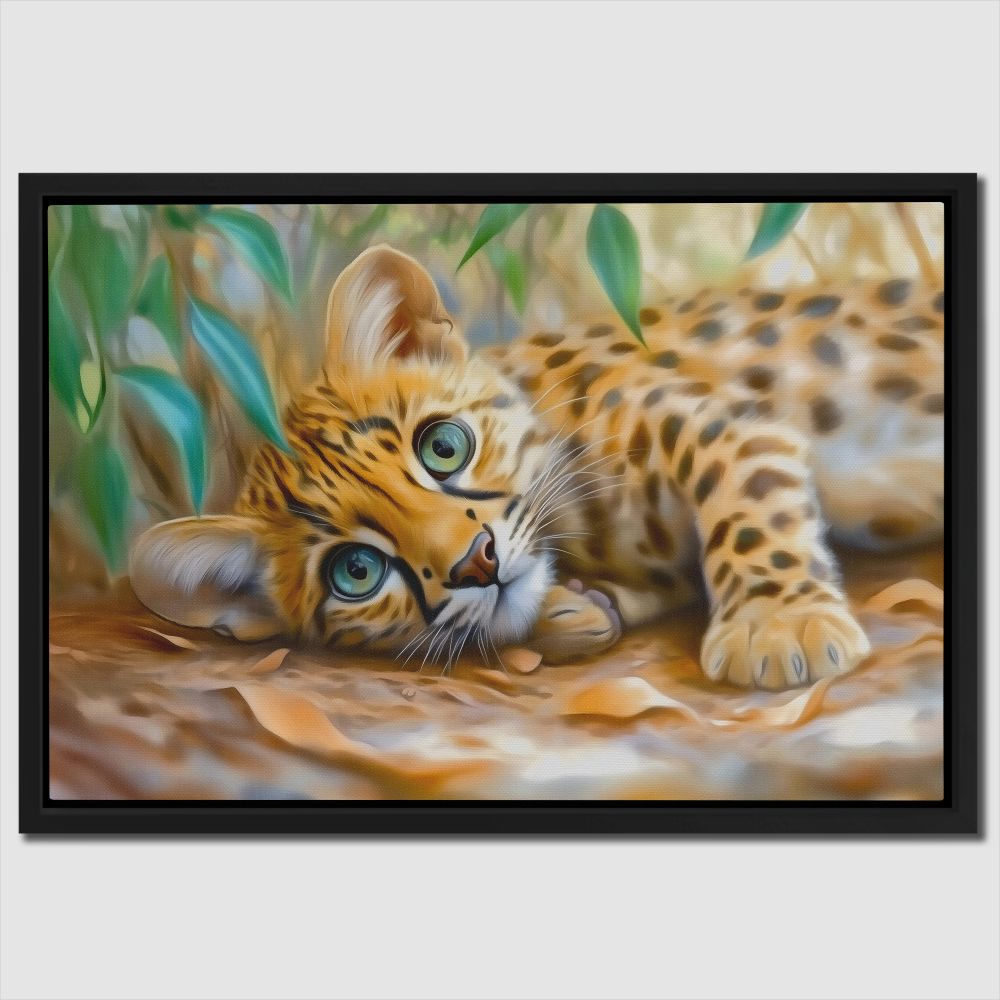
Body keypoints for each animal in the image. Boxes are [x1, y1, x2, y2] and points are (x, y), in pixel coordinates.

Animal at [130, 244, 944, 689]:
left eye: (444, 446)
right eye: (355, 572)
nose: (477, 562)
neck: (586, 528)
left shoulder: (725, 423)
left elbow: (747, 505)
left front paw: (781, 624)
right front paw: (571, 611)